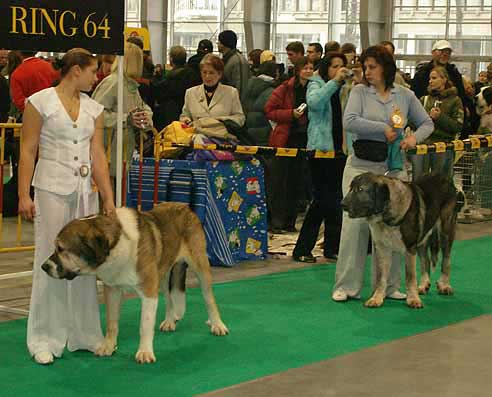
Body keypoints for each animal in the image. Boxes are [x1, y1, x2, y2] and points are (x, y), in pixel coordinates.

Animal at [40, 203, 229, 364]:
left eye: (61, 249)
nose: (44, 267)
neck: (116, 245)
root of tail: (185, 207)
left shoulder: (148, 291)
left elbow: (145, 324)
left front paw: (144, 352)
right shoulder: (113, 290)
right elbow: (112, 322)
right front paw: (108, 346)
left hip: (200, 266)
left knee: (209, 298)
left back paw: (217, 325)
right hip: (161, 273)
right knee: (169, 297)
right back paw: (169, 321)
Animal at [340, 173, 464, 310]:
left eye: (360, 189)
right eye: (350, 188)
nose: (342, 204)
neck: (386, 214)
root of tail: (445, 178)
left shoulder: (410, 248)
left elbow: (410, 276)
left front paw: (413, 299)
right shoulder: (383, 249)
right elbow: (381, 277)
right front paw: (376, 298)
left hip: (445, 232)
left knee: (446, 261)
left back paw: (444, 285)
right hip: (422, 238)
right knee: (425, 261)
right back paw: (423, 285)